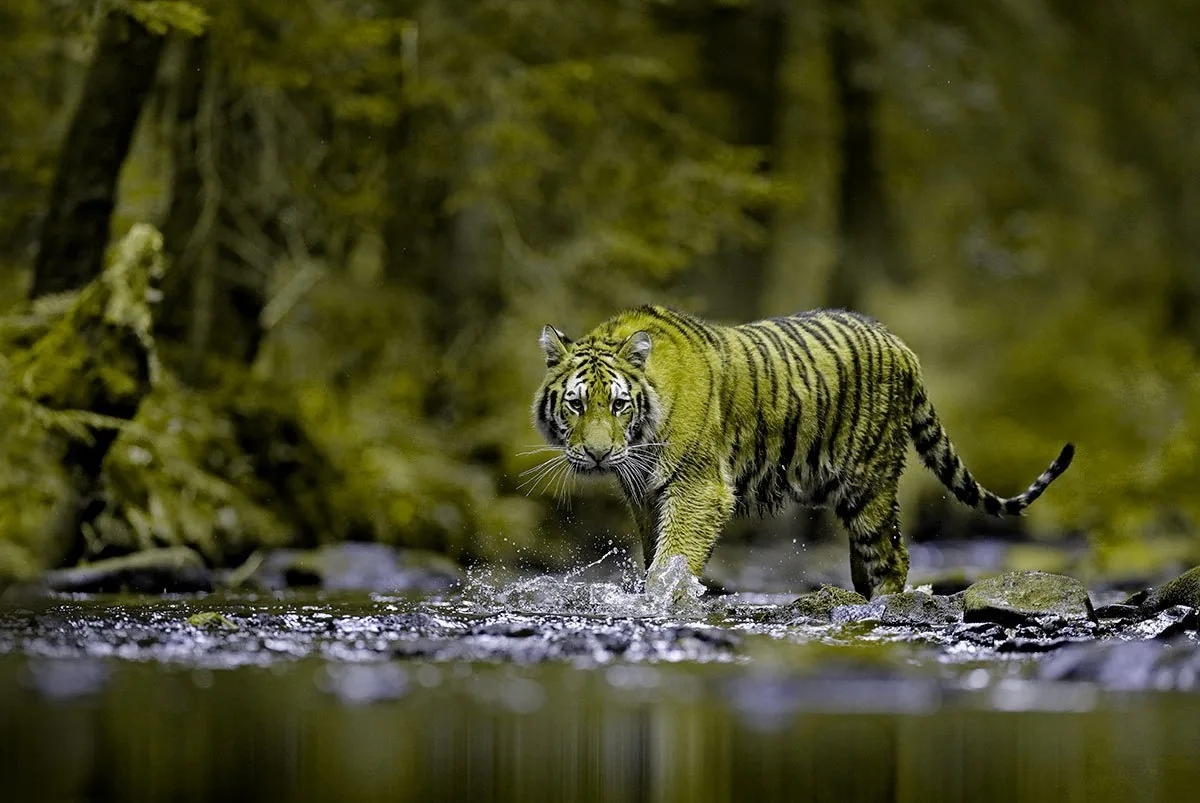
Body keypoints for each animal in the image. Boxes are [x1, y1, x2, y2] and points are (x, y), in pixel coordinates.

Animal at [530, 305, 1074, 600]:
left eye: (619, 405)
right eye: (576, 404)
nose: (598, 455)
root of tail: (901, 344)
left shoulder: (698, 489)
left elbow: (673, 560)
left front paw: (663, 601)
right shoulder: (644, 495)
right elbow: (654, 556)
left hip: (868, 482)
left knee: (891, 556)